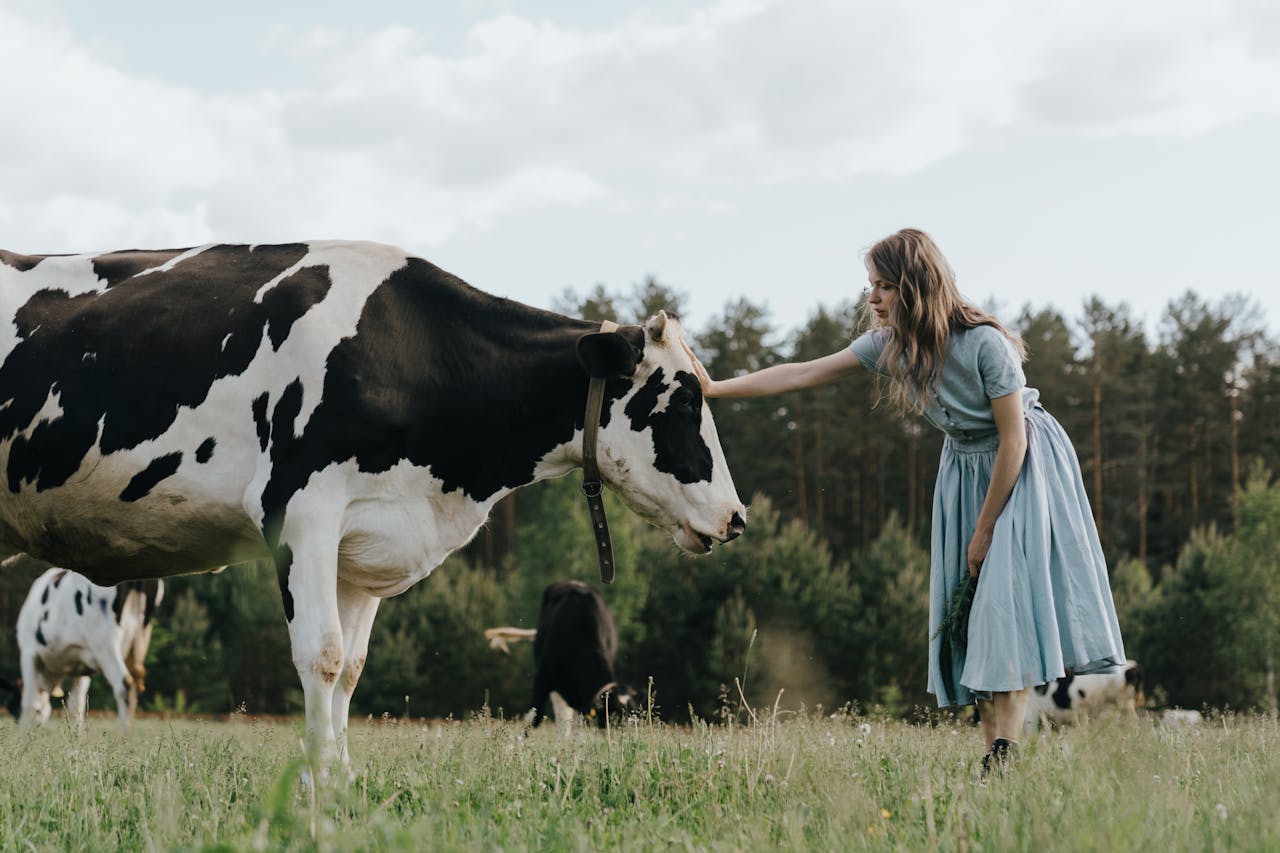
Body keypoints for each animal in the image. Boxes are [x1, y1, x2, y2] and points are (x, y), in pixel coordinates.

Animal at [14, 558, 162, 732]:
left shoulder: (28, 652)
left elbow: (28, 702)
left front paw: (22, 734)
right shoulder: (81, 665)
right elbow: (76, 706)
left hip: (105, 642)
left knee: (125, 685)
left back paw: (123, 736)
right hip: (139, 642)